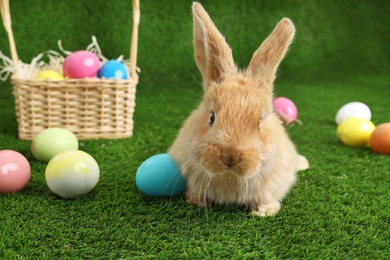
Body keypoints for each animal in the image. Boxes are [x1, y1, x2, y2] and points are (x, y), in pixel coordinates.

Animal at [168, 3, 308, 216]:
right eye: (212, 117)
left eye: (259, 123)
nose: (230, 157)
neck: (230, 176)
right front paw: (197, 202)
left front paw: (264, 212)